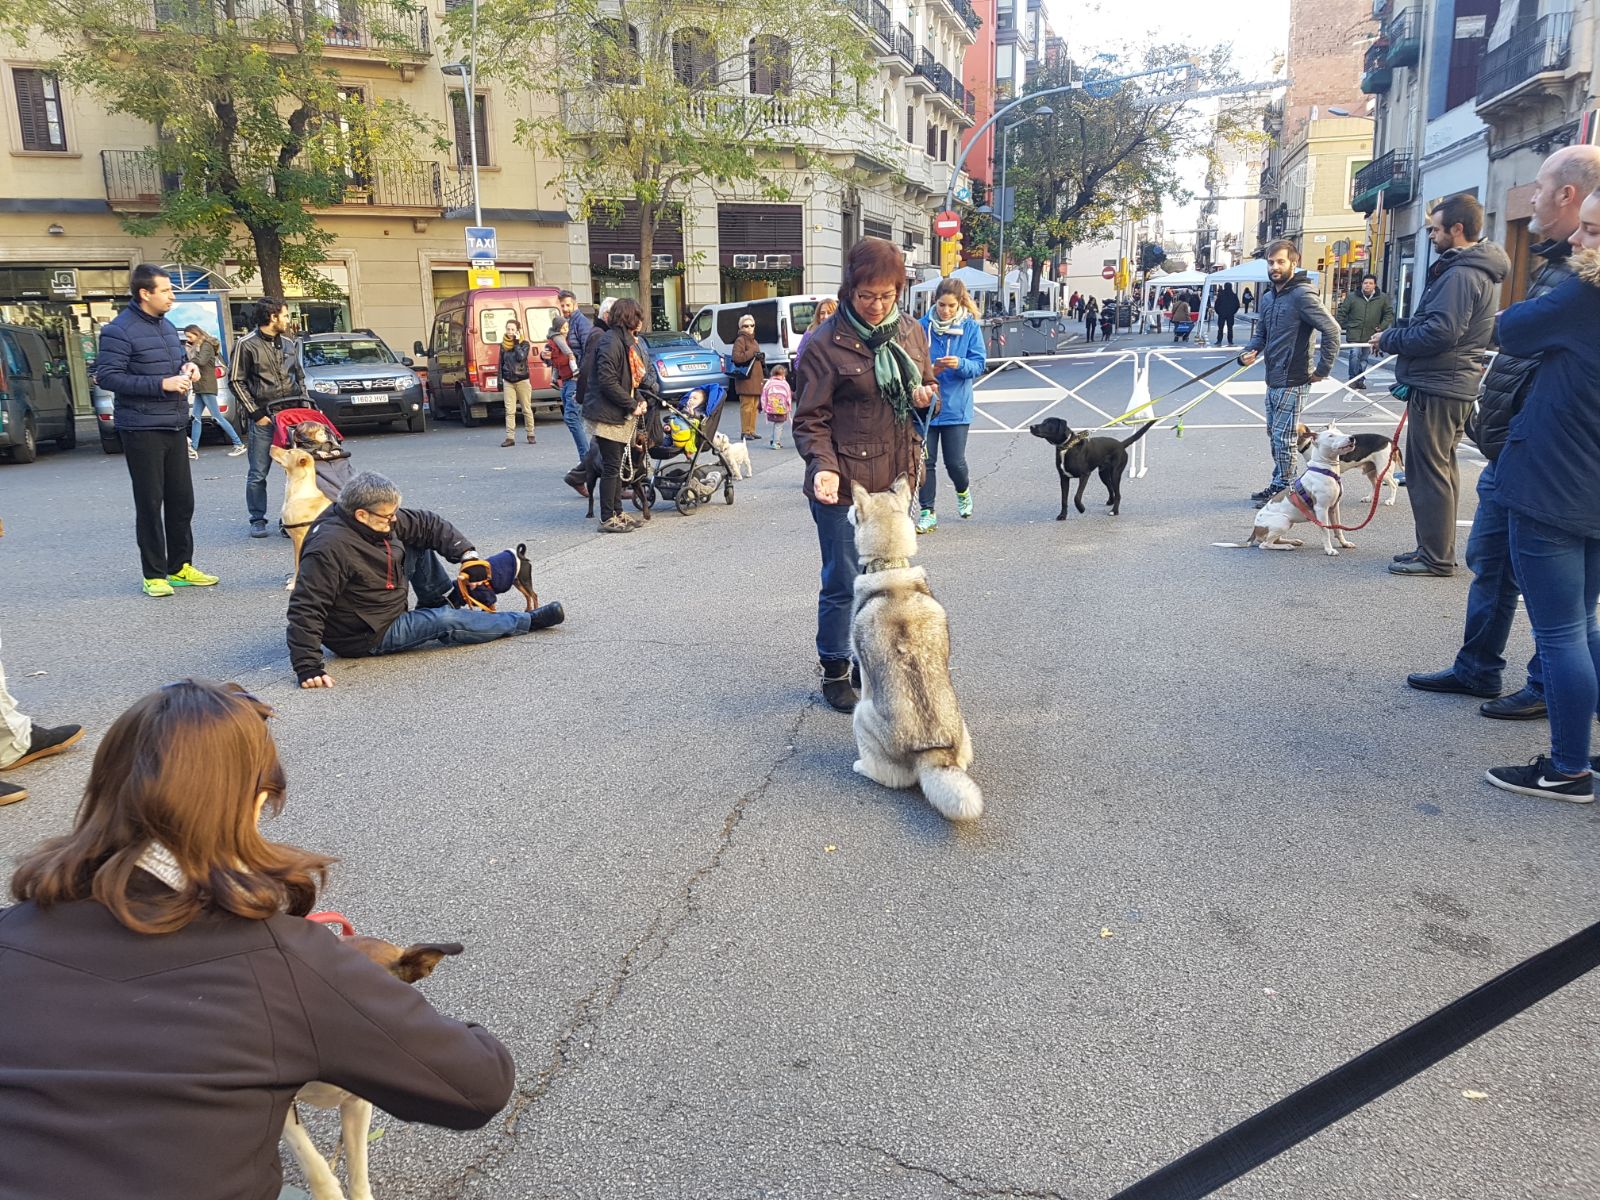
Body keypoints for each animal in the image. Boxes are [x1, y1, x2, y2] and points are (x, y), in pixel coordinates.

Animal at [847, 477, 982, 823]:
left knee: (887, 776)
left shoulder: (864, 675)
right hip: (964, 732)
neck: (891, 569)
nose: (846, 510)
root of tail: (931, 753)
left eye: (855, 507)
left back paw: (861, 766)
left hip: (860, 713)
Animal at [1028, 416, 1157, 519]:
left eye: (1048, 423)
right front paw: (1062, 515)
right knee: (1111, 488)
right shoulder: (1063, 478)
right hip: (1103, 473)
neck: (1067, 447)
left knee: (1118, 494)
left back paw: (1114, 511)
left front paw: (1081, 509)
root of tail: (1121, 444)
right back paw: (1110, 501)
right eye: (1043, 421)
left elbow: (1077, 496)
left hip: (1115, 473)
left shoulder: (1085, 475)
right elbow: (1063, 500)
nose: (1031, 426)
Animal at [1213, 426, 1358, 555]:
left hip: (1288, 523)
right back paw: (1287, 546)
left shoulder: (1334, 508)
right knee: (1265, 544)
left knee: (1274, 540)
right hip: (1283, 521)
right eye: (1330, 436)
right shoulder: (1321, 510)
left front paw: (1344, 543)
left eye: (1341, 432)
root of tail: (1255, 530)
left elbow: (1338, 528)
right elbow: (1326, 531)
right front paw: (1329, 550)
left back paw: (1292, 541)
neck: (1326, 470)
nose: (1352, 438)